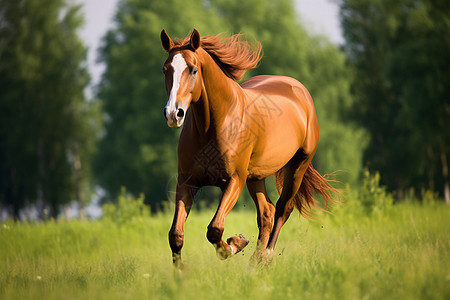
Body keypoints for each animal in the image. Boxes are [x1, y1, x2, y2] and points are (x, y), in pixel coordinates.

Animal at [160, 28, 336, 268]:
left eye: (193, 69)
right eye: (165, 69)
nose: (173, 114)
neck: (215, 125)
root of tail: (298, 89)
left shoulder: (235, 179)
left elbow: (215, 229)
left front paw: (237, 242)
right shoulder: (187, 181)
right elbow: (176, 235)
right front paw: (181, 273)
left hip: (297, 167)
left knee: (283, 208)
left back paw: (265, 256)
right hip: (256, 176)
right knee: (267, 212)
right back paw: (256, 260)